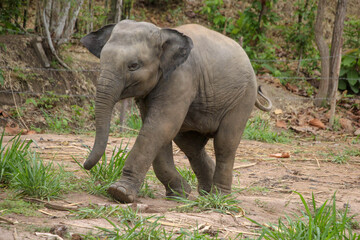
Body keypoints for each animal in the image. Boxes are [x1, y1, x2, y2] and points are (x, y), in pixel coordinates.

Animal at [81, 19, 272, 202]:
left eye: (133, 65)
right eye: (101, 60)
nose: (84, 165)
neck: (161, 33)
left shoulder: (181, 77)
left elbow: (159, 128)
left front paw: (119, 193)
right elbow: (159, 131)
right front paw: (179, 194)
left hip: (242, 98)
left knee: (225, 143)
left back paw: (219, 197)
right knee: (190, 145)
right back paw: (206, 193)